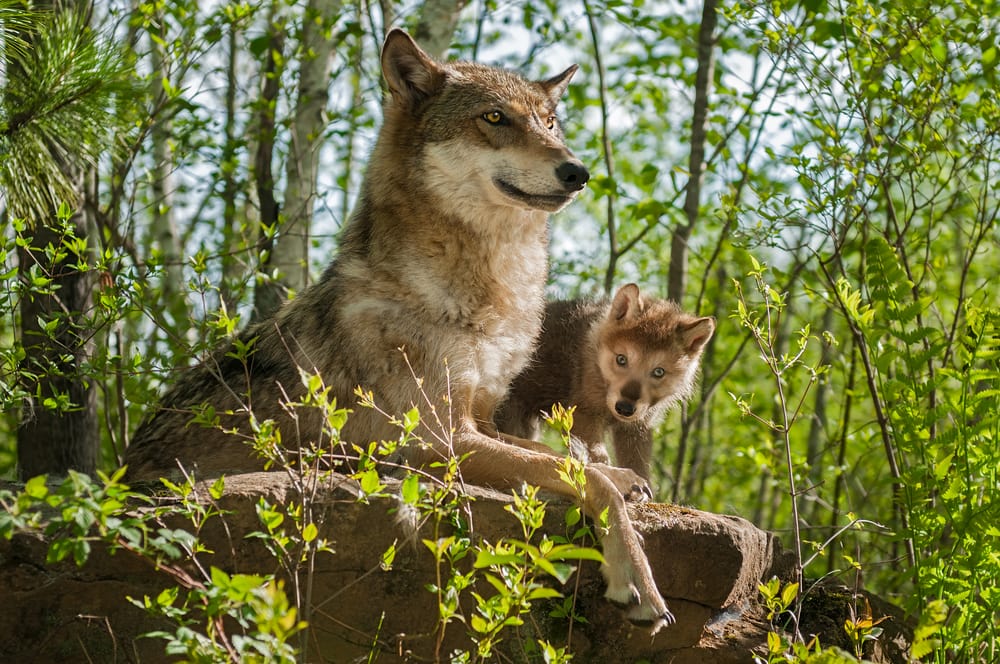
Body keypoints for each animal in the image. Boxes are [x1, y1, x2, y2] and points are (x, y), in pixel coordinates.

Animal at [123, 30, 673, 629]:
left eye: (550, 122)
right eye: (495, 117)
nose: (578, 171)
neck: (487, 291)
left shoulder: (481, 419)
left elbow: (558, 456)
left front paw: (626, 479)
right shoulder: (436, 441)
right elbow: (576, 472)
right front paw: (637, 577)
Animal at [495, 283, 715, 482]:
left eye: (658, 372)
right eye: (621, 359)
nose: (625, 408)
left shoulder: (636, 428)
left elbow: (638, 465)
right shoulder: (585, 413)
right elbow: (597, 455)